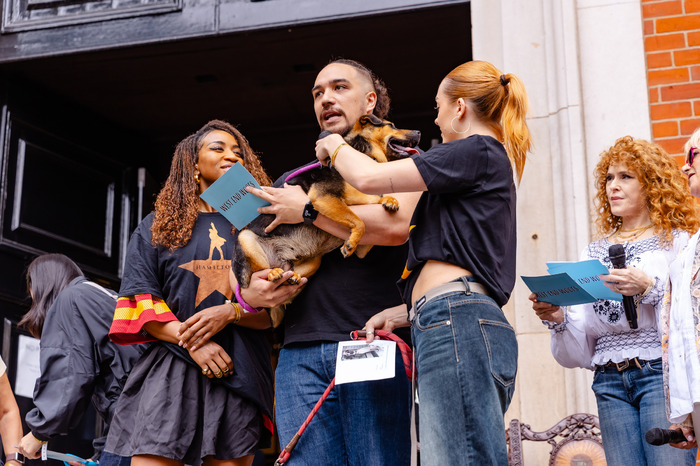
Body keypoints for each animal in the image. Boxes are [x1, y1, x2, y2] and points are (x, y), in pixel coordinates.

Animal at [232, 113, 422, 310]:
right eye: (392, 125)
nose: (419, 132)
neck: (366, 156)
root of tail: (281, 263)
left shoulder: (363, 242)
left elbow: (374, 201)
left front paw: (390, 200)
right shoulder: (323, 197)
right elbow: (359, 221)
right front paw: (350, 243)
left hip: (315, 261)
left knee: (288, 282)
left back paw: (292, 276)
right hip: (246, 240)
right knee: (259, 274)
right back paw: (272, 273)